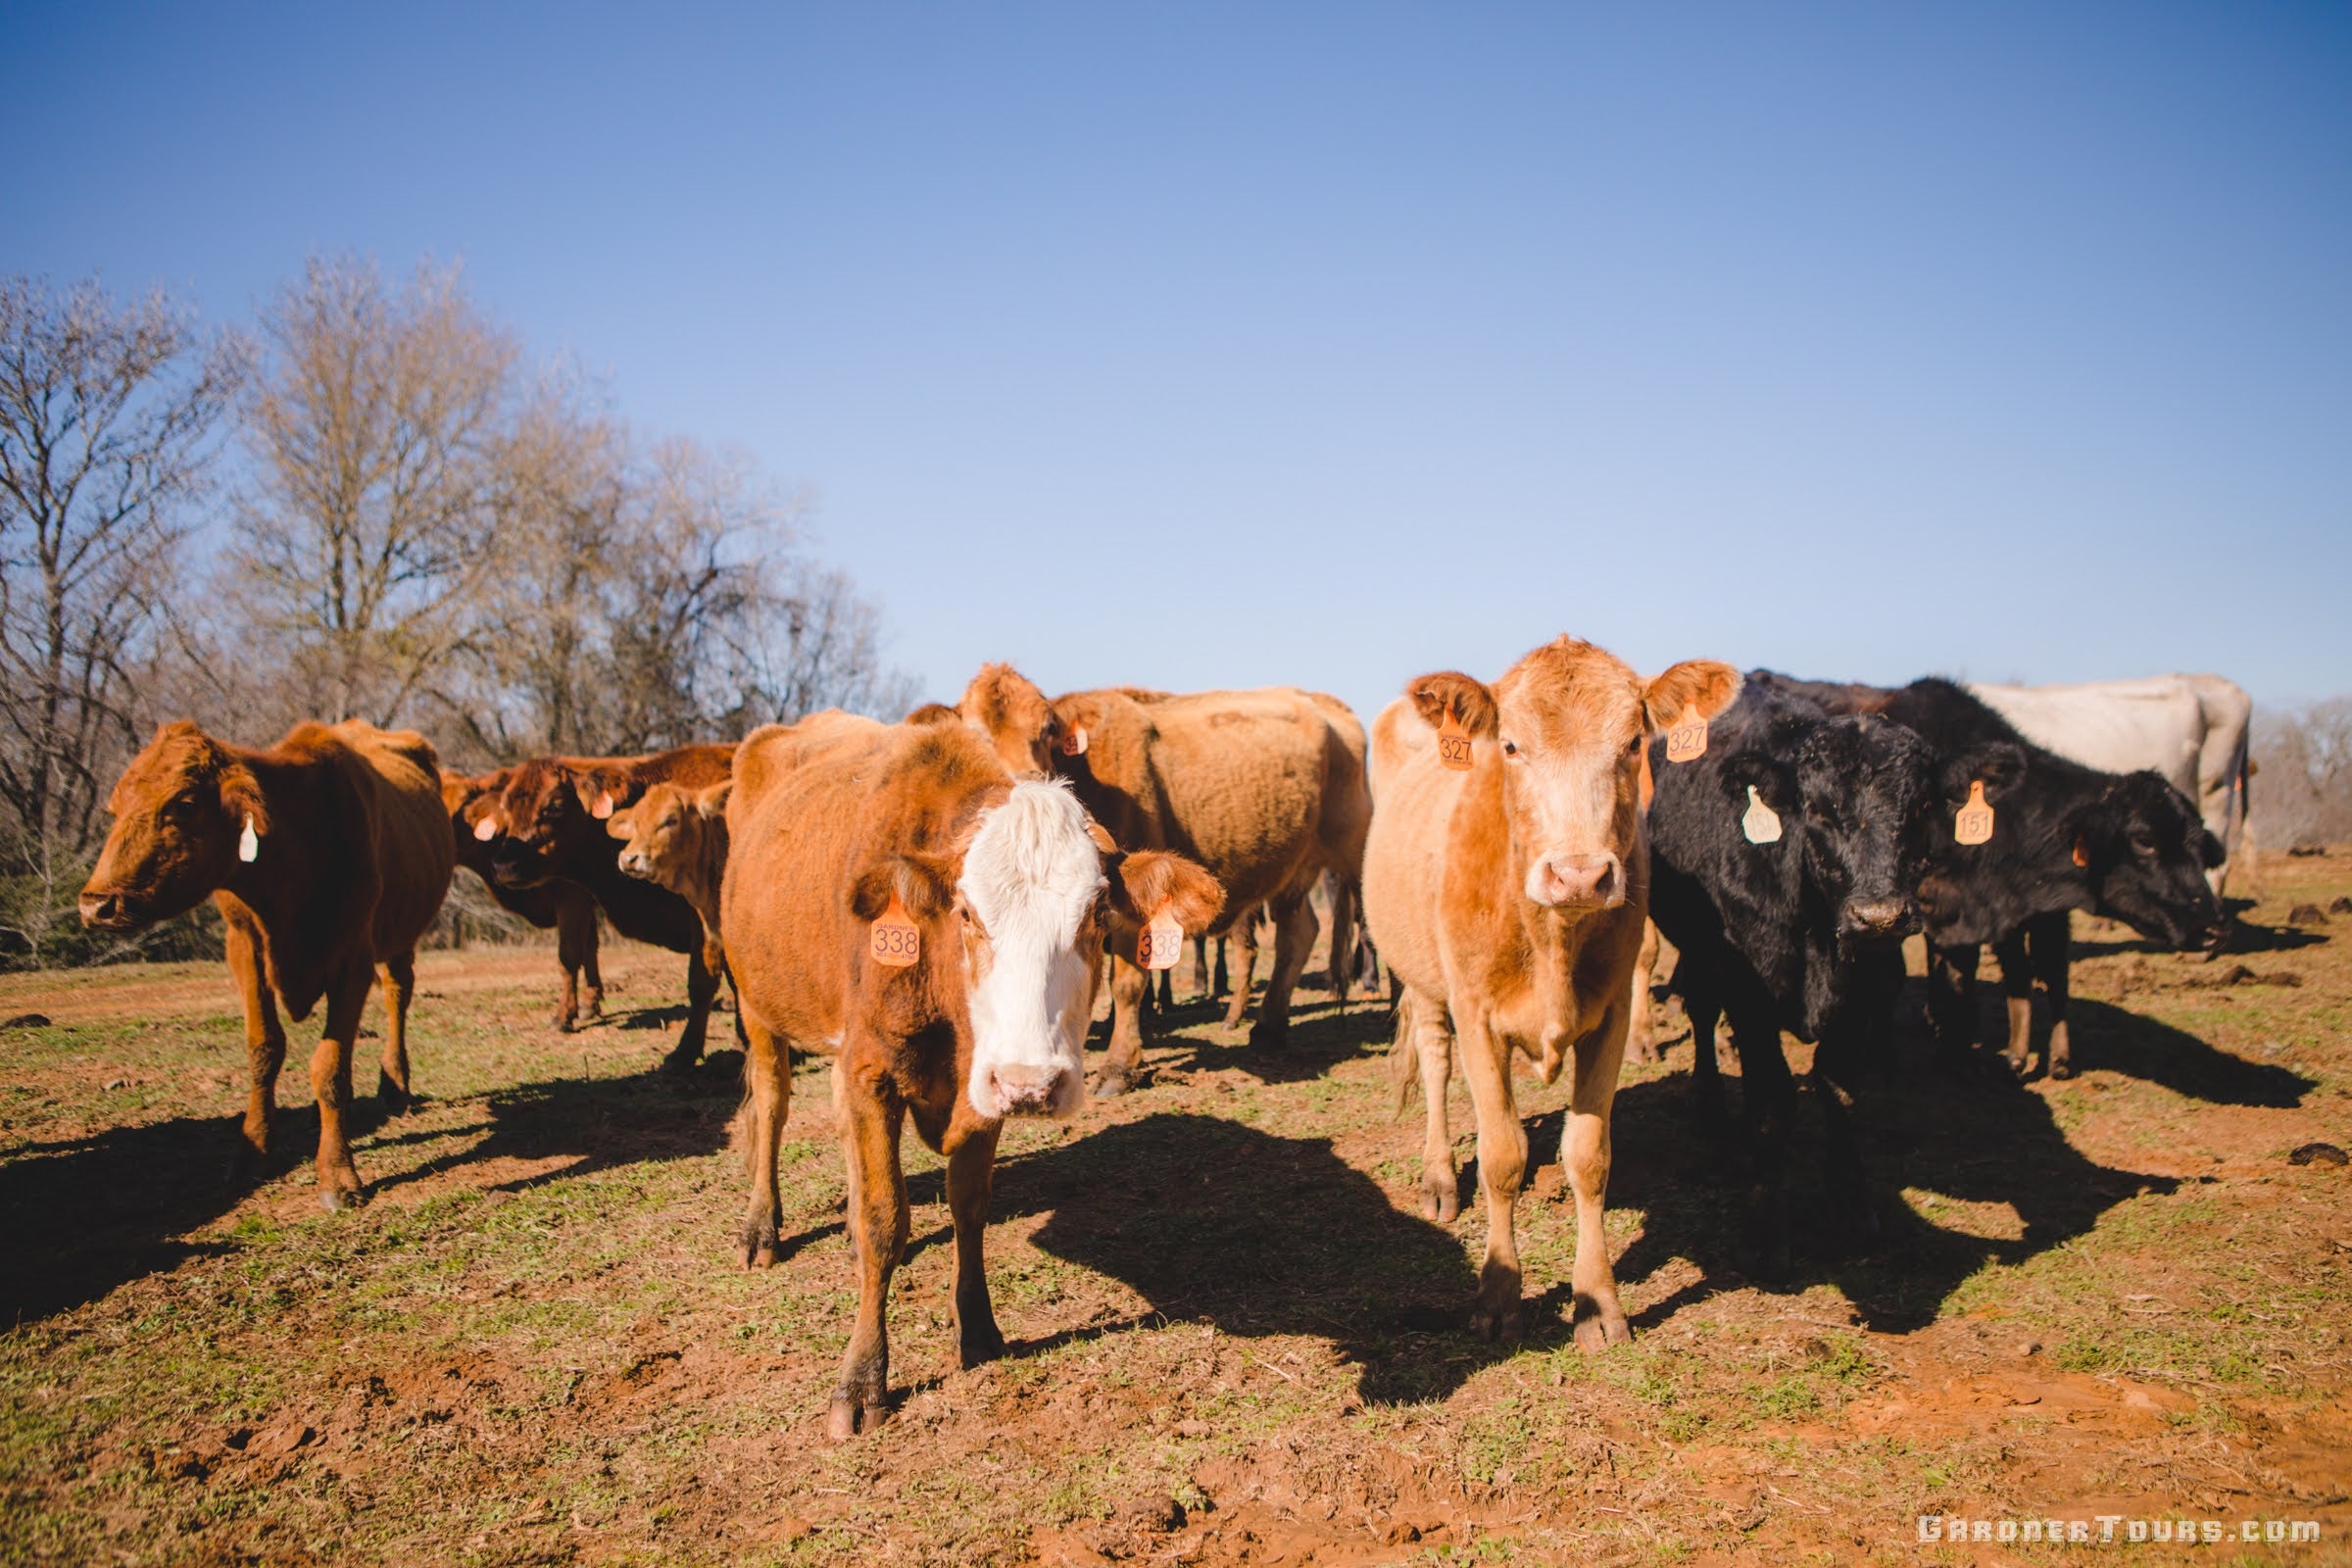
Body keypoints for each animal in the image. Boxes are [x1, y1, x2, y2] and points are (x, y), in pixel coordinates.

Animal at [80, 720, 454, 1209]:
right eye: (114, 808)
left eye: (184, 803)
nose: (95, 904)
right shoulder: (244, 948)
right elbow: (264, 1050)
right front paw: (251, 1152)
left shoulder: (352, 958)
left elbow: (330, 1067)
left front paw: (337, 1174)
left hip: (401, 935)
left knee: (398, 993)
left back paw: (394, 1083)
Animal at [443, 769, 606, 1031]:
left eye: (461, 806)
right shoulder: (585, 902)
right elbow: (590, 947)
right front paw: (590, 1004)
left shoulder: (573, 898)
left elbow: (569, 956)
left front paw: (563, 1016)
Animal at [721, 712, 1222, 1437]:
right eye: (965, 913)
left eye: (1099, 917)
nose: (1033, 1084)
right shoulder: (872, 1069)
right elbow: (885, 1220)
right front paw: (862, 1379)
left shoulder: (982, 1090)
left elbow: (970, 1207)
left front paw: (980, 1329)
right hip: (757, 1005)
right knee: (772, 1103)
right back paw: (761, 1226)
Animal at [955, 665, 1371, 1094]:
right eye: (973, 731)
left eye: (1048, 728)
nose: (1022, 781)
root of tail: (1325, 704)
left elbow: (1126, 985)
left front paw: (1119, 1065)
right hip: (1294, 871)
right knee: (1299, 933)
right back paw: (1268, 1028)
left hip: (1357, 849)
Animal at [1362, 638, 1742, 1345]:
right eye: (1510, 746)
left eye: (1633, 743)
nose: (1580, 875)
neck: (1551, 937)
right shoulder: (1478, 1017)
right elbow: (1501, 1155)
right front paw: (1498, 1296)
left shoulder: (1613, 1013)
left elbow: (1589, 1156)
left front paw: (1598, 1303)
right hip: (1422, 979)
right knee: (1433, 1062)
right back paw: (1437, 1177)